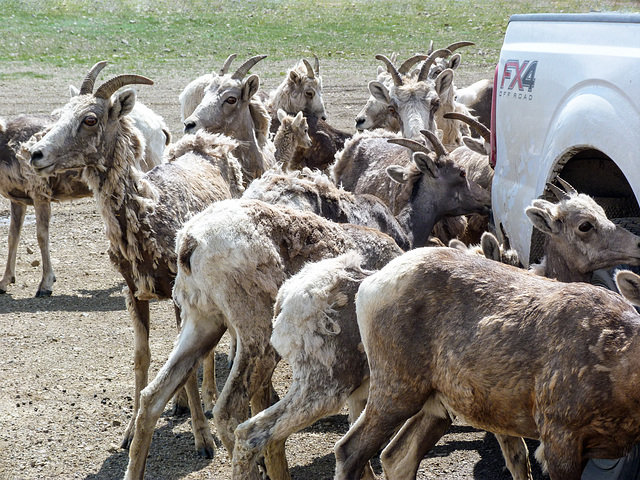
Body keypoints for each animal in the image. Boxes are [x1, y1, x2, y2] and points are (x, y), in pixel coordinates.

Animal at [25, 63, 245, 458]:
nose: (35, 154)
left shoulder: (177, 297)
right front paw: (128, 436)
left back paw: (206, 400)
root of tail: (212, 145)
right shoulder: (133, 293)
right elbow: (142, 359)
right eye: (59, 114)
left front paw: (204, 441)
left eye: (90, 119)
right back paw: (181, 405)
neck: (148, 214)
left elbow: (186, 369)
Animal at [332, 246, 640, 480]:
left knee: (396, 457)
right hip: (395, 383)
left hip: (438, 402)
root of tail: (367, 287)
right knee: (349, 450)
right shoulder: (559, 431)